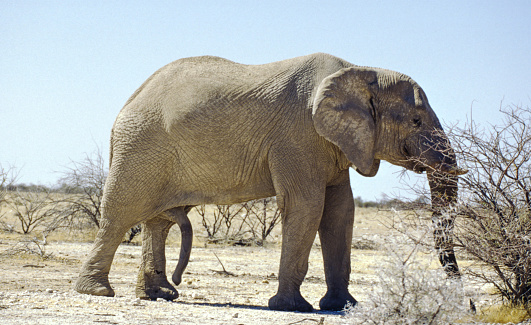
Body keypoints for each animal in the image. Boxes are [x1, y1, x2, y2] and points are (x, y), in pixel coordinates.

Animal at [74, 53, 466, 312]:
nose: (466, 302)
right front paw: (291, 307)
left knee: (159, 221)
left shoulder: (333, 143)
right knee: (119, 215)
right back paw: (97, 292)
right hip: (139, 147)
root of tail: (131, 98)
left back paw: (160, 295)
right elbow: (308, 205)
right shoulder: (299, 136)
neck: (359, 70)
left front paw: (343, 307)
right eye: (416, 121)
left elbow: (340, 212)